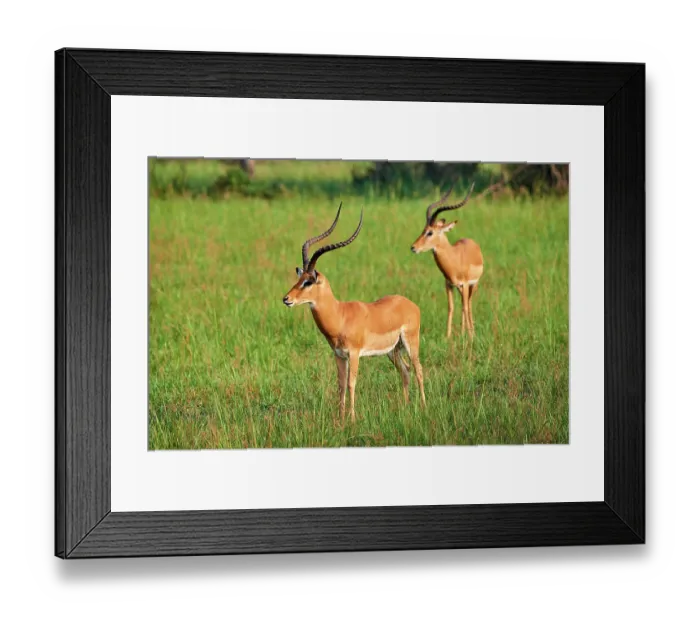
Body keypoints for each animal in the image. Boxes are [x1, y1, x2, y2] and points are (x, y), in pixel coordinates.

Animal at [283, 204, 426, 423]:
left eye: (308, 282)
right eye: (299, 279)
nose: (286, 299)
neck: (340, 316)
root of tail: (411, 304)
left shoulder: (354, 354)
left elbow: (352, 383)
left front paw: (352, 419)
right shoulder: (339, 355)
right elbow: (341, 384)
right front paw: (341, 419)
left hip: (411, 343)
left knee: (418, 370)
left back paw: (424, 408)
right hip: (393, 350)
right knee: (406, 371)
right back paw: (406, 406)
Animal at [410, 183, 484, 340]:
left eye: (430, 232)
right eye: (423, 230)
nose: (413, 247)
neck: (454, 258)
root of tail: (472, 242)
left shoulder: (465, 284)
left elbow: (465, 307)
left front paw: (470, 337)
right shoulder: (449, 284)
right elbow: (451, 307)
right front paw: (448, 336)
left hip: (473, 285)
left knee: (468, 304)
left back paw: (470, 332)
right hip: (460, 288)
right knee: (463, 304)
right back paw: (463, 331)